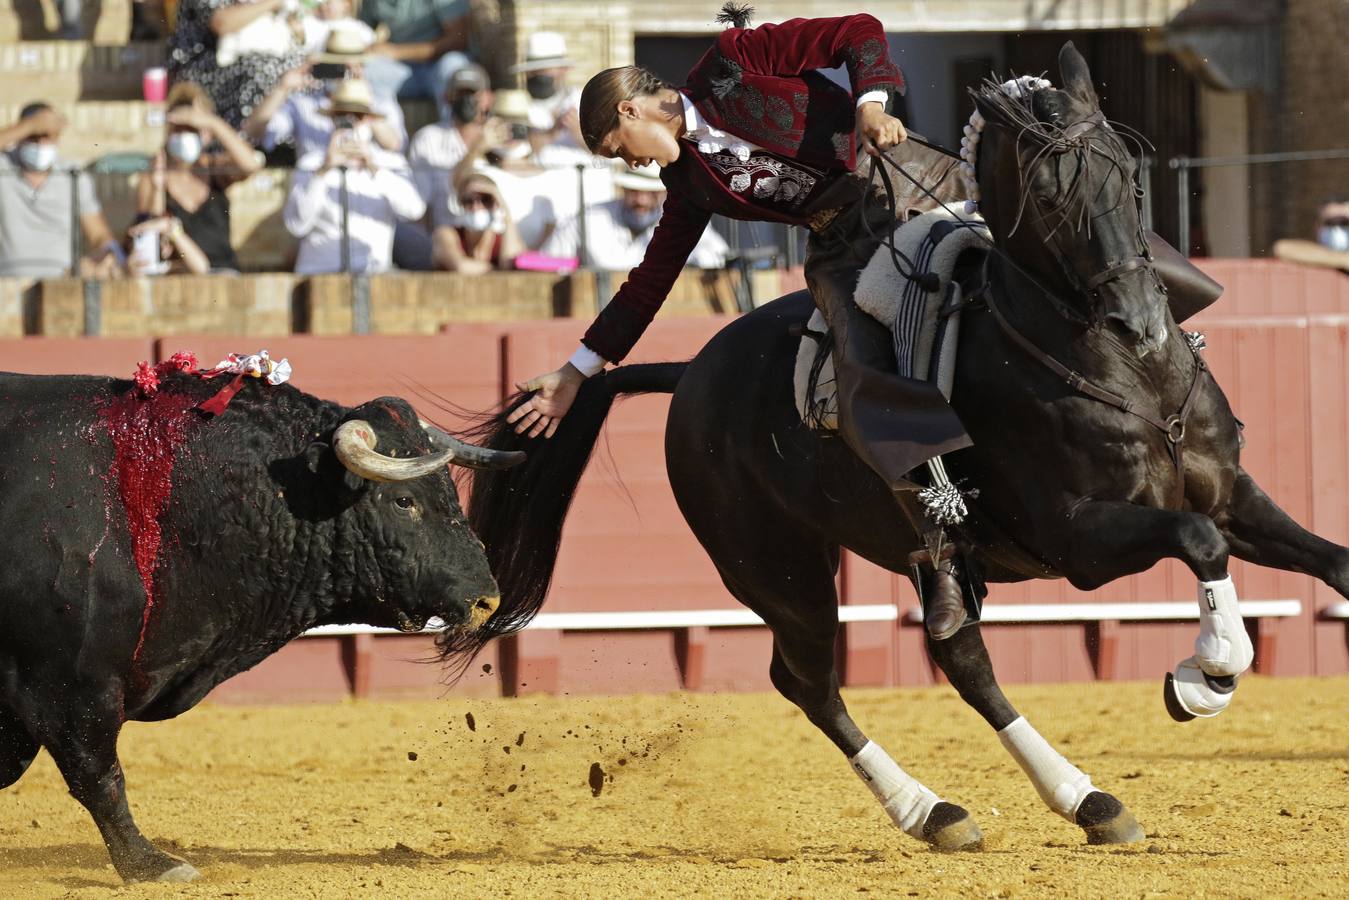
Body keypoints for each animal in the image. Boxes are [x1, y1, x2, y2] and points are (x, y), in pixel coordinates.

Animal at [453, 45, 1349, 852]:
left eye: (1128, 172)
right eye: (1046, 196)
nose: (1139, 321)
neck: (1131, 375)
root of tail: (692, 371)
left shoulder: (1231, 494)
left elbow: (1320, 559)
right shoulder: (1079, 537)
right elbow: (1196, 546)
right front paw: (1206, 675)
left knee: (955, 654)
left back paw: (1080, 802)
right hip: (775, 570)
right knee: (815, 681)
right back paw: (940, 810)